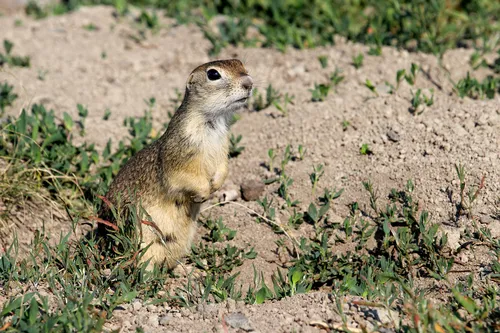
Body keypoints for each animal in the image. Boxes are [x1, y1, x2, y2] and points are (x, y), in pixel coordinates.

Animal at [100, 59, 254, 268]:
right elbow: (184, 176)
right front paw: (203, 193)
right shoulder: (179, 155)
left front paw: (216, 185)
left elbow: (223, 168)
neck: (213, 124)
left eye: (240, 63)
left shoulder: (223, 148)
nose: (249, 83)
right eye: (213, 74)